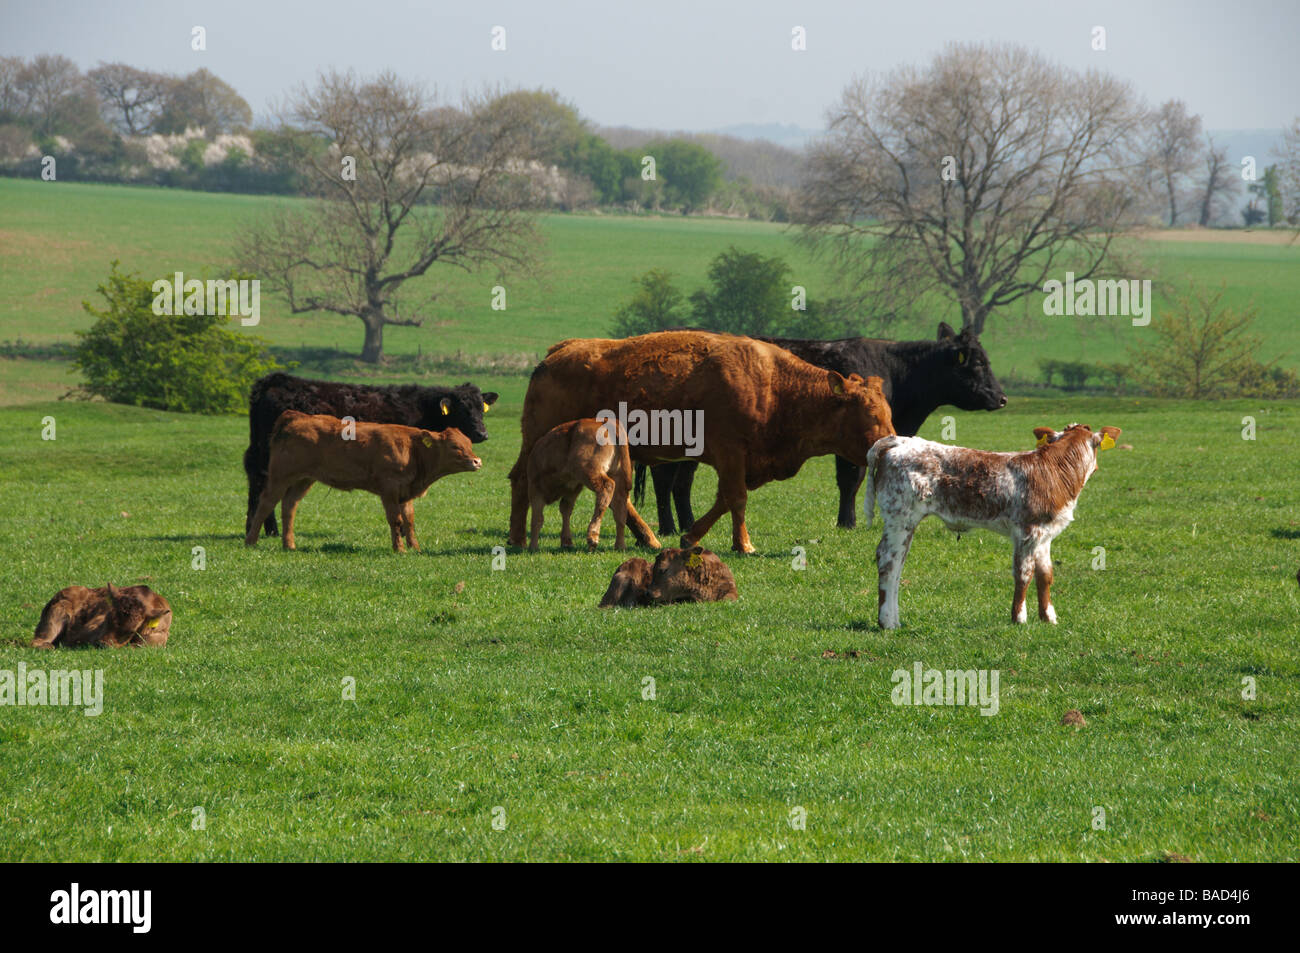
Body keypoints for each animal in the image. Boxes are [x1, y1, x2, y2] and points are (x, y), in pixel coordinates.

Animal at [244, 373, 498, 538]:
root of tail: (275, 380)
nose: (482, 433)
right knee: (262, 481)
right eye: (463, 409)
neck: (422, 409)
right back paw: (265, 529)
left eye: (481, 408)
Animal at [245, 411, 482, 552]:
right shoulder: (389, 489)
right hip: (280, 476)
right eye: (454, 446)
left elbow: (409, 520)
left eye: (469, 443)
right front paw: (399, 549)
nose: (477, 461)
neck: (412, 449)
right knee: (266, 503)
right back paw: (251, 541)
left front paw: (415, 547)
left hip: (304, 479)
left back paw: (289, 545)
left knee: (289, 506)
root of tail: (295, 416)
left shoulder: (406, 491)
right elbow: (396, 520)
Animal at [526, 418, 660, 552]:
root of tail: (606, 421)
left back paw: (593, 536)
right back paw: (620, 545)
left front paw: (533, 547)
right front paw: (566, 542)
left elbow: (537, 519)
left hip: (589, 471)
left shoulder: (535, 488)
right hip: (618, 475)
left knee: (607, 487)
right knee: (621, 506)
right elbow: (565, 510)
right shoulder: (573, 488)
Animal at [637, 322, 1007, 533]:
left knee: (677, 482)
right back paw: (670, 528)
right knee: (667, 481)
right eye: (977, 364)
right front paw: (848, 522)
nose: (1002, 398)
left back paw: (685, 525)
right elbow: (850, 480)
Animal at [864, 423, 1121, 629]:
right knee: (888, 561)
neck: (1054, 471)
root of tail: (902, 440)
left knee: (898, 564)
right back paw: (887, 621)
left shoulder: (1045, 534)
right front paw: (1019, 618)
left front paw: (1048, 617)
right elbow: (1024, 573)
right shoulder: (1028, 531)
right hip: (900, 517)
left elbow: (1045, 574)